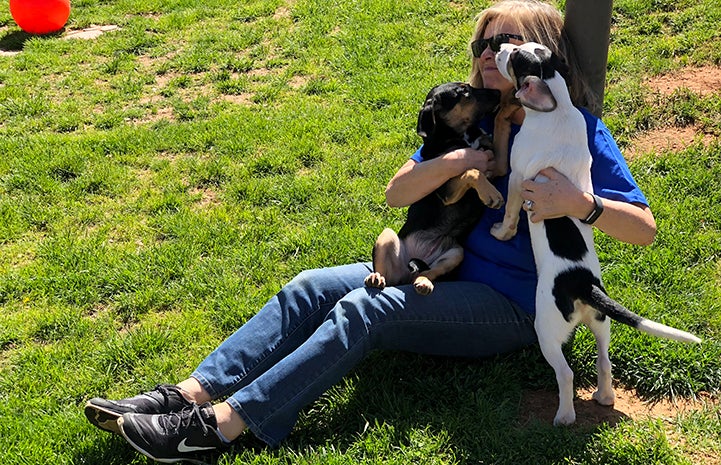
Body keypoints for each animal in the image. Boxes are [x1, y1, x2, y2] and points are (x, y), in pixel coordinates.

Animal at [366, 82, 500, 294]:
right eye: (464, 92)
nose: (499, 92)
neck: (459, 136)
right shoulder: (447, 192)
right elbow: (471, 171)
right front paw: (491, 194)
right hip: (386, 236)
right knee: (385, 273)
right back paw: (376, 278)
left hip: (455, 253)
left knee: (428, 273)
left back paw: (423, 282)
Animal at [490, 43, 696, 424]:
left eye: (515, 59)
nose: (499, 48)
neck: (557, 105)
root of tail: (584, 285)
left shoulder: (517, 177)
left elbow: (510, 211)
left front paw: (501, 231)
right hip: (602, 324)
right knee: (604, 360)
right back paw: (604, 396)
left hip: (548, 330)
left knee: (566, 373)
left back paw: (565, 416)